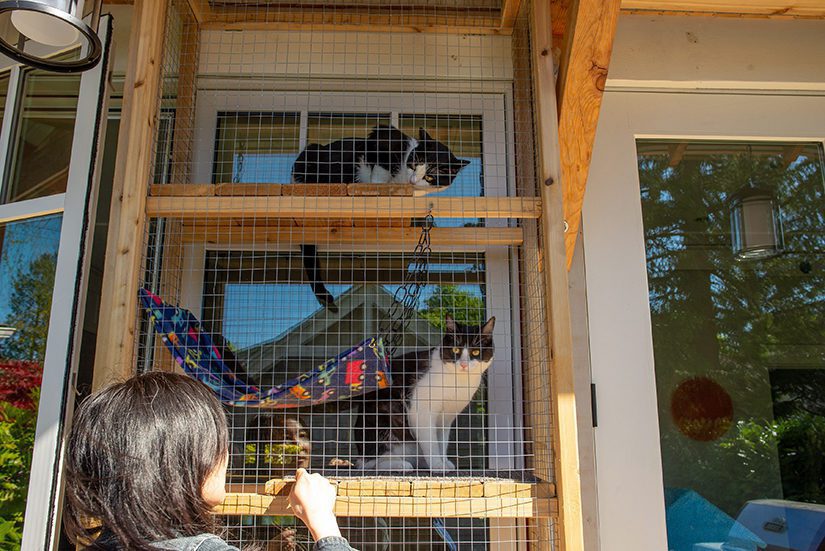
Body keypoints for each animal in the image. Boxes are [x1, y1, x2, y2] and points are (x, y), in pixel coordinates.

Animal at [292, 125, 466, 312]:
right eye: (414, 164)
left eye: (429, 176)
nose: (412, 181)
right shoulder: (381, 139)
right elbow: (379, 176)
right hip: (314, 156)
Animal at [354, 314, 496, 474]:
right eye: (455, 350)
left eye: (475, 352)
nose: (464, 364)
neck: (458, 381)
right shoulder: (421, 411)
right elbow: (431, 442)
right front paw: (437, 465)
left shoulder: (445, 418)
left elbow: (442, 442)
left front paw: (443, 462)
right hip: (381, 421)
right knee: (371, 462)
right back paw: (401, 464)